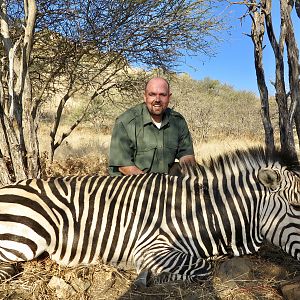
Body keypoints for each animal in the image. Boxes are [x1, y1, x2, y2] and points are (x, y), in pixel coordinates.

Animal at [0, 146, 298, 284]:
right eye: (296, 206)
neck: (199, 212)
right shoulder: (152, 247)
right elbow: (203, 269)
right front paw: (146, 276)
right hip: (26, 237)